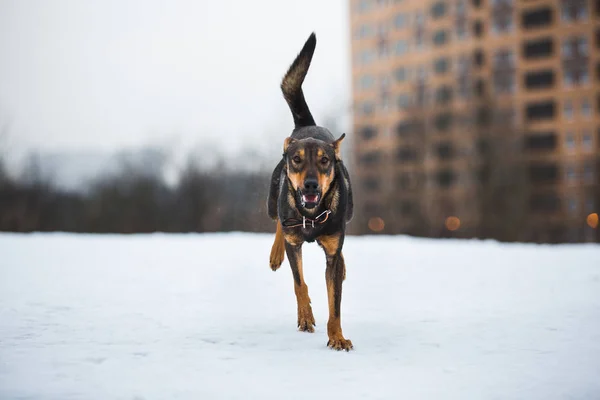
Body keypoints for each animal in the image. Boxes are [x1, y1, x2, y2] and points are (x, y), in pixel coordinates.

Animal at [266, 32, 354, 352]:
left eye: (325, 160)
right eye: (297, 159)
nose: (311, 185)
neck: (312, 215)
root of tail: (307, 124)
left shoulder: (332, 248)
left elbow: (335, 303)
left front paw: (337, 337)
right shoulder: (295, 243)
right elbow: (299, 283)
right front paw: (305, 317)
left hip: (346, 220)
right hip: (273, 200)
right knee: (278, 222)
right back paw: (275, 254)